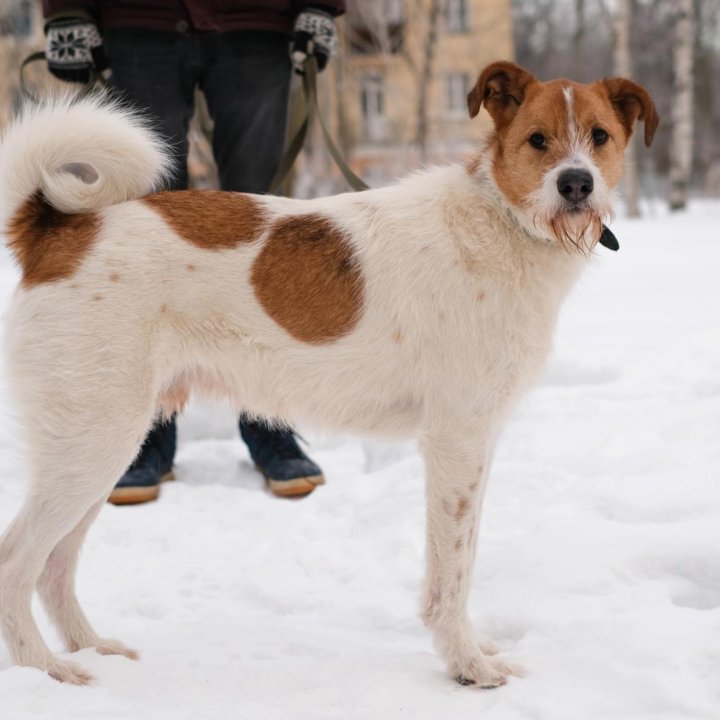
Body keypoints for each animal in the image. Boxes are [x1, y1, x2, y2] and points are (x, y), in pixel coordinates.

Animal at [0, 63, 660, 688]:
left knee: (54, 568)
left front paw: (473, 650)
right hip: (95, 440)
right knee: (17, 562)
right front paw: (466, 664)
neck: (500, 221)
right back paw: (45, 669)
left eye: (600, 136)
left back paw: (92, 649)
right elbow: (452, 570)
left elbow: (463, 557)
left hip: (103, 446)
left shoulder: (478, 444)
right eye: (537, 140)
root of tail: (59, 230)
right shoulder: (456, 442)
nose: (576, 183)